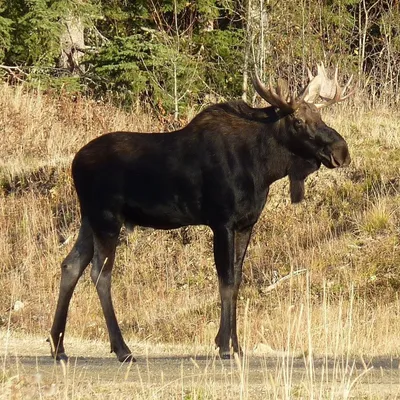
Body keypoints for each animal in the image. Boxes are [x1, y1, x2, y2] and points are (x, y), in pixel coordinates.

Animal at [50, 64, 354, 360]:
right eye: (298, 122)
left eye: (320, 115)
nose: (341, 151)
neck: (264, 167)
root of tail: (75, 163)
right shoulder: (221, 221)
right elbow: (226, 280)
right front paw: (224, 346)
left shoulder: (246, 223)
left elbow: (237, 279)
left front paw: (236, 345)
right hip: (107, 218)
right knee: (100, 273)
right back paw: (122, 349)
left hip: (89, 219)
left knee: (71, 265)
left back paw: (58, 346)